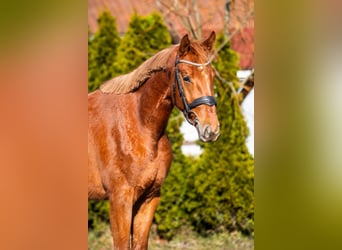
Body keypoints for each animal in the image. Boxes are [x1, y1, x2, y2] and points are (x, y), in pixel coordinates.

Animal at [89, 32, 219, 249]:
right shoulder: (120, 200)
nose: (212, 129)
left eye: (212, 76)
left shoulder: (149, 198)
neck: (139, 124)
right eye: (186, 77)